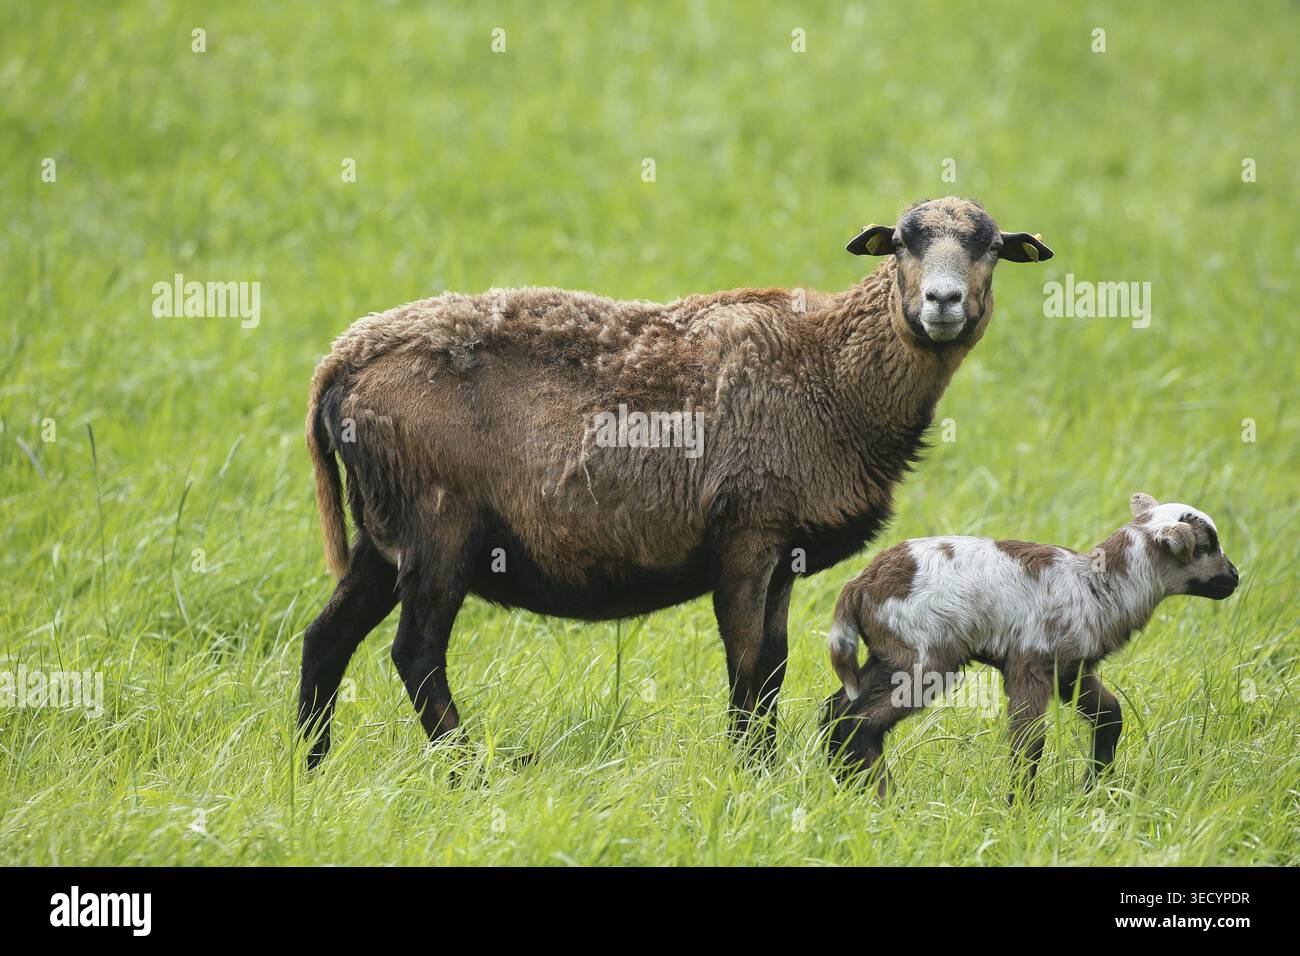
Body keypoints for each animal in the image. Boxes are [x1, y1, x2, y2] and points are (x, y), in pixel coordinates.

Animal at [296, 196, 1055, 767]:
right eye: (900, 241)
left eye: (990, 247)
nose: (941, 301)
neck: (833, 371)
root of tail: (343, 360)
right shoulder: (749, 531)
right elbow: (749, 665)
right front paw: (751, 772)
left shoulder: (783, 551)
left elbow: (771, 668)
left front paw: (758, 768)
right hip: (438, 525)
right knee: (416, 654)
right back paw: (466, 772)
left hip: (382, 531)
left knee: (325, 639)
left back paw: (310, 768)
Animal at [822, 492, 1240, 800]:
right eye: (1206, 545)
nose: (1235, 577)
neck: (1102, 587)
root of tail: (860, 584)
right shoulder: (1030, 663)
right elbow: (1029, 741)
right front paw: (1020, 808)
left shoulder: (1070, 669)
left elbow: (1110, 715)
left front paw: (1094, 792)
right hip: (924, 659)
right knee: (860, 723)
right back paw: (887, 799)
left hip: (888, 654)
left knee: (835, 710)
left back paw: (842, 784)